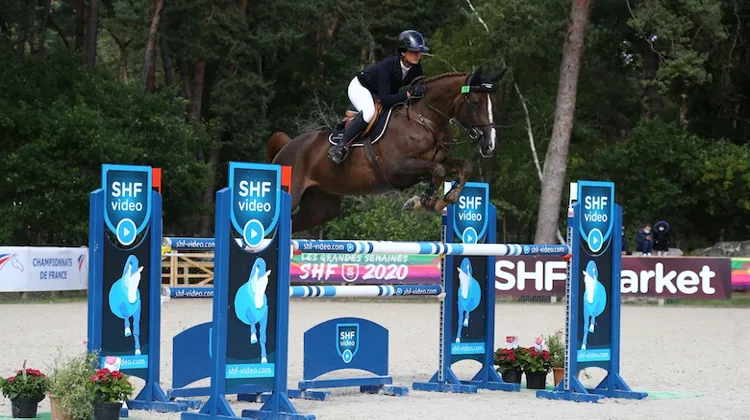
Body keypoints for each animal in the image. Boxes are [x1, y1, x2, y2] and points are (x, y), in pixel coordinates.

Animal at [267, 65, 505, 233]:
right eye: (475, 103)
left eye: (494, 102)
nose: (490, 145)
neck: (424, 119)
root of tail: (287, 146)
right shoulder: (397, 168)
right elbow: (437, 171)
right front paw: (421, 203)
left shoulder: (436, 161)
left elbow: (463, 166)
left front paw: (446, 199)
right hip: (293, 192)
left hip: (320, 207)